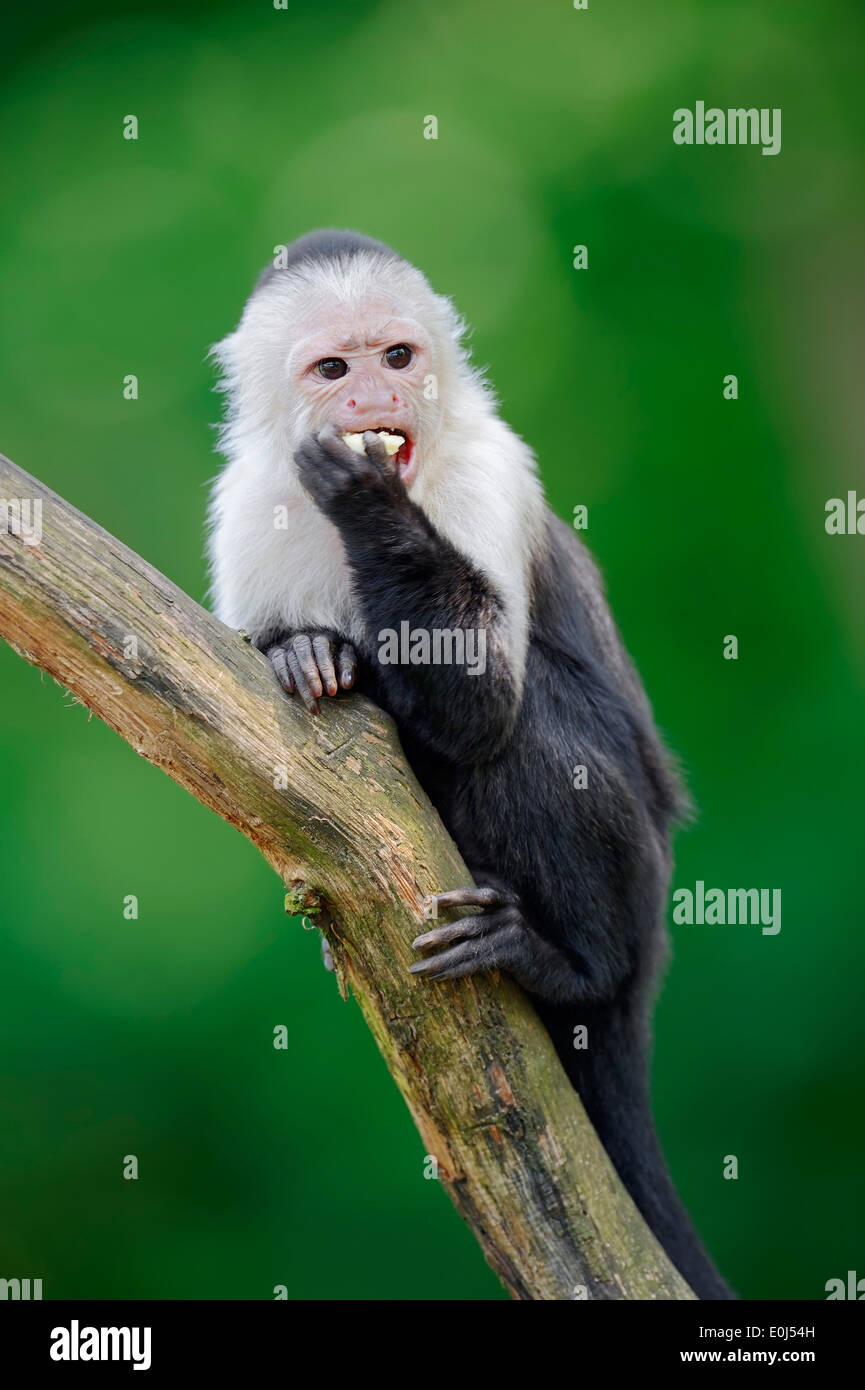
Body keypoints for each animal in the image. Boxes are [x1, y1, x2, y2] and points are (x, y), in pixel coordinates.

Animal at [207, 230, 734, 1301]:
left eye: (397, 356)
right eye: (335, 369)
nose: (378, 398)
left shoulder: (486, 474)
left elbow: (481, 706)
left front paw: (368, 503)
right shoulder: (243, 510)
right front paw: (299, 650)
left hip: (641, 885)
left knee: (525, 726)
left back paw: (566, 965)